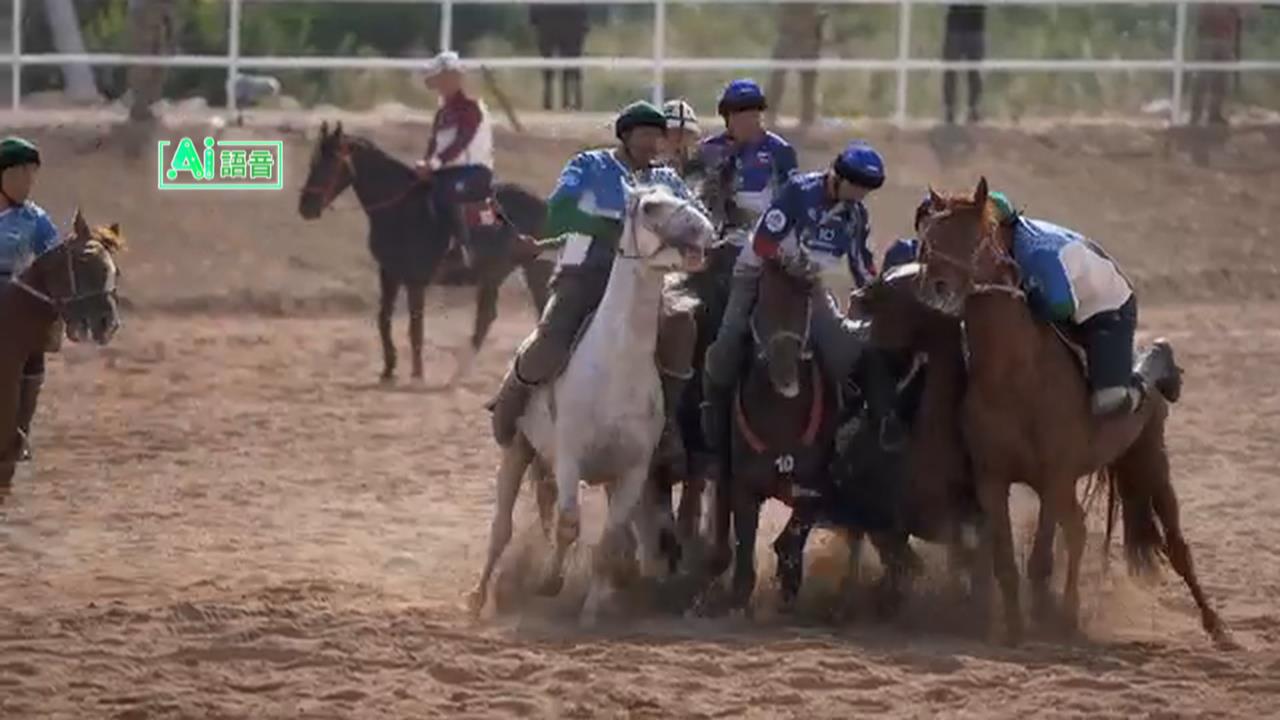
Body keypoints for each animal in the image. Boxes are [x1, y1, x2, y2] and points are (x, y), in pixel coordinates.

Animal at [297, 121, 553, 385]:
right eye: (313, 162)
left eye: (329, 163)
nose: (306, 207)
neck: (401, 209)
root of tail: (544, 202)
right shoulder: (389, 273)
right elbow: (384, 319)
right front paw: (388, 369)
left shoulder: (415, 280)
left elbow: (415, 326)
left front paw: (417, 373)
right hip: (507, 273)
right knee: (494, 316)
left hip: (522, 270)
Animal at [469, 185, 714, 624]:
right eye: (650, 207)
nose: (703, 229)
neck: (616, 364)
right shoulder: (570, 459)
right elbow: (569, 525)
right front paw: (549, 583)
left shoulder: (632, 472)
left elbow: (611, 541)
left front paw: (592, 612)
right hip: (519, 449)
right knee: (501, 528)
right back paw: (478, 597)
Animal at [703, 261, 842, 614]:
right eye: (761, 302)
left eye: (804, 302)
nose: (785, 376)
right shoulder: (744, 486)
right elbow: (744, 538)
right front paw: (739, 597)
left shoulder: (815, 487)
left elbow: (794, 535)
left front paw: (789, 582)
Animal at [914, 177, 1229, 646]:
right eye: (927, 238)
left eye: (971, 236)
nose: (934, 287)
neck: (1015, 376)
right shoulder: (993, 479)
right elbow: (1006, 560)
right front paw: (1014, 629)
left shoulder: (1054, 476)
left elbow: (1040, 560)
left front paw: (1043, 620)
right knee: (1079, 530)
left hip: (1150, 457)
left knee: (1175, 544)